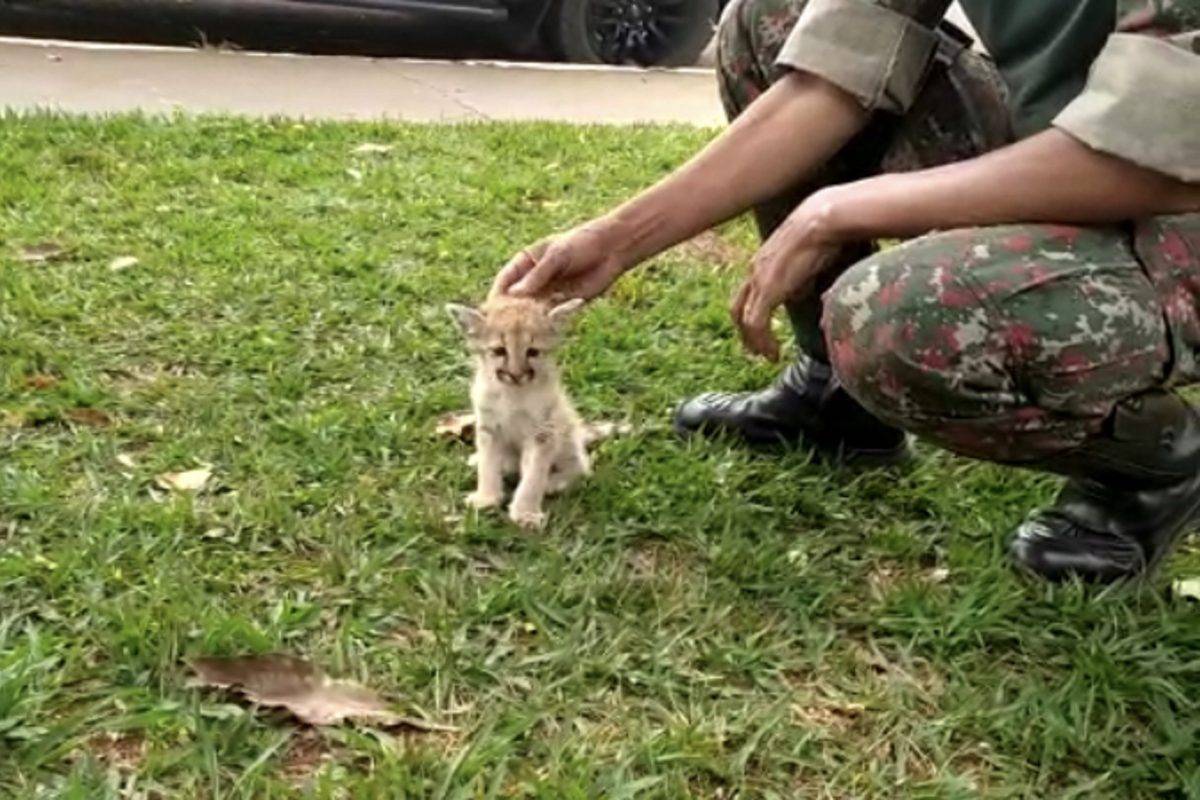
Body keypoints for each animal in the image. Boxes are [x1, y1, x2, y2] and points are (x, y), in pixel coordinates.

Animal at [446, 295, 590, 529]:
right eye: (499, 351)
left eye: (532, 352)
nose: (516, 374)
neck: (512, 394)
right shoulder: (488, 427)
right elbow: (488, 464)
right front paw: (486, 498)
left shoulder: (543, 433)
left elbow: (533, 475)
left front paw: (526, 512)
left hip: (566, 434)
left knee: (581, 467)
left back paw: (553, 483)